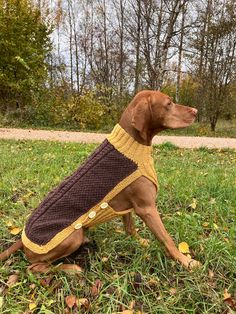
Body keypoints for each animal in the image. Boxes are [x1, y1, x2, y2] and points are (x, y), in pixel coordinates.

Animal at [0, 91, 201, 272]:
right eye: (169, 103)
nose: (196, 110)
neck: (133, 144)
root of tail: (22, 239)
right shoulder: (147, 207)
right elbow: (167, 239)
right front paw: (186, 261)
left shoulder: (128, 204)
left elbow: (130, 229)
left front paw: (140, 242)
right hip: (71, 237)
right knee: (34, 268)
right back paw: (71, 269)